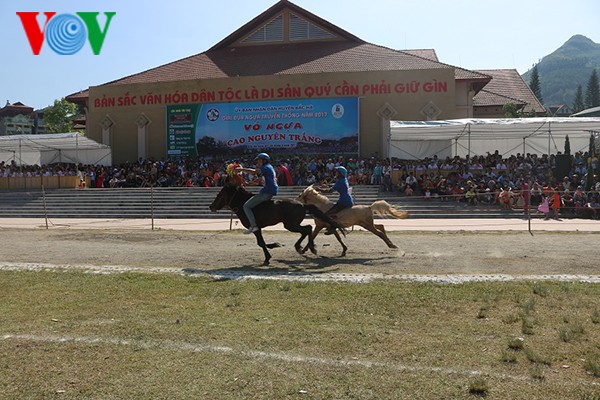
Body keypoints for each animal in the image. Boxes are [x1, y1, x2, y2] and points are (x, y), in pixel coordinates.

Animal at [210, 184, 342, 266]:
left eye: (220, 194)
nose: (211, 206)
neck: (243, 204)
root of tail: (302, 204)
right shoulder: (258, 229)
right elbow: (261, 242)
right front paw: (274, 245)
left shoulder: (255, 228)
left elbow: (261, 243)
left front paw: (268, 257)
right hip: (291, 225)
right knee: (306, 230)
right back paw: (300, 247)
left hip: (290, 225)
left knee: (307, 229)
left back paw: (311, 248)